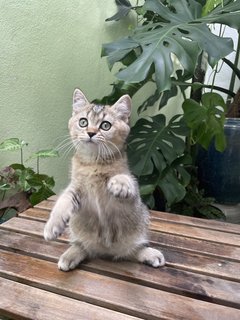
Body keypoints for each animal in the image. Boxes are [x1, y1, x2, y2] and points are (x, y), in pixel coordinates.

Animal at [43, 87, 165, 270]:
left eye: (105, 125)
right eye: (83, 122)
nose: (91, 132)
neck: (94, 163)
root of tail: (105, 251)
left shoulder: (128, 198)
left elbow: (127, 180)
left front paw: (119, 183)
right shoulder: (76, 187)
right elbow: (63, 200)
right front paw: (53, 225)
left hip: (137, 232)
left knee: (134, 250)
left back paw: (150, 254)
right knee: (82, 246)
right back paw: (70, 255)